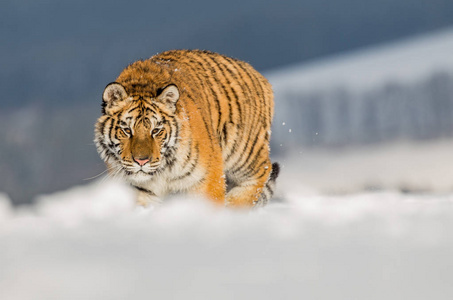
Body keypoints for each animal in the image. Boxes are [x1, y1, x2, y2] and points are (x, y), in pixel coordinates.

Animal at [94, 49, 278, 209]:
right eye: (126, 130)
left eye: (156, 131)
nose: (141, 161)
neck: (161, 173)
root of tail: (256, 72)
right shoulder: (137, 189)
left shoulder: (207, 179)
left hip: (243, 153)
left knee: (263, 171)